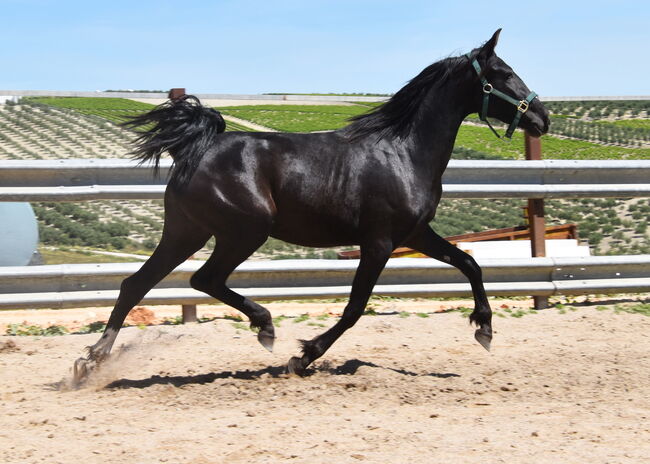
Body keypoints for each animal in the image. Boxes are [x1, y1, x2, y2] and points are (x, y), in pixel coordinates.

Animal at [72, 30, 548, 382]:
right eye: (504, 73)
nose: (542, 118)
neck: (404, 152)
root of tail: (195, 147)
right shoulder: (379, 242)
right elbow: (355, 307)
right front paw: (304, 356)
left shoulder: (415, 234)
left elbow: (470, 263)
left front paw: (484, 329)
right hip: (243, 231)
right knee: (202, 279)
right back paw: (265, 328)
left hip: (186, 231)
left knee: (136, 283)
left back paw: (89, 362)